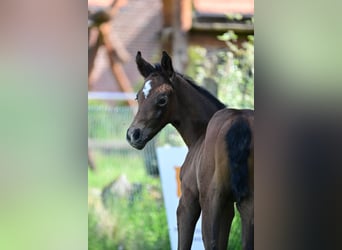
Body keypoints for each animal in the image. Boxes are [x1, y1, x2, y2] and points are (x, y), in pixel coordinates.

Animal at [127, 51, 252, 249]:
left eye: (162, 99)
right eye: (138, 97)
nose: (133, 135)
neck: (200, 134)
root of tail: (239, 121)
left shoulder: (187, 201)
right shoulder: (229, 207)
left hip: (211, 202)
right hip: (247, 205)